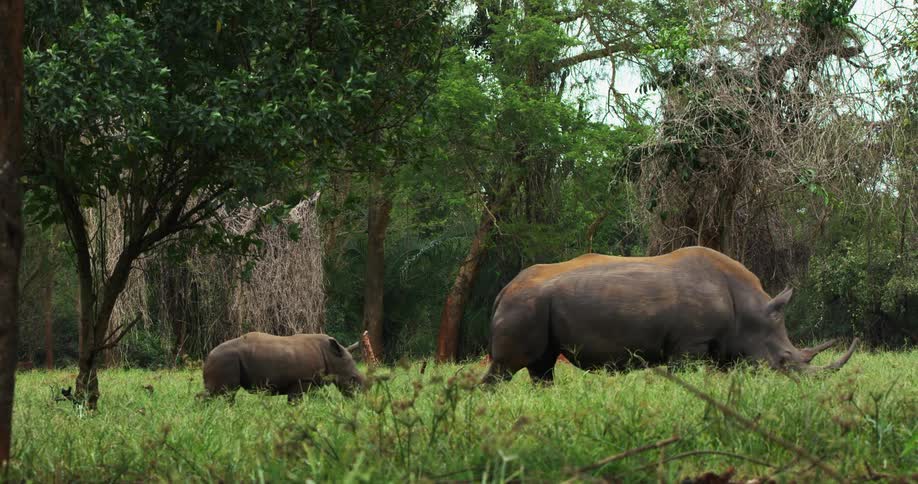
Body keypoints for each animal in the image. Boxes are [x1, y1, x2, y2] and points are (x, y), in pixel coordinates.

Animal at [201, 332, 367, 401]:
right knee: (223, 391)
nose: (360, 399)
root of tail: (208, 356)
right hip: (225, 359)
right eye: (352, 379)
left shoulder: (311, 381)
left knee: (224, 393)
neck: (332, 357)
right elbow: (295, 401)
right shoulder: (302, 381)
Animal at [482, 246, 858, 384]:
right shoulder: (691, 343)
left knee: (542, 366)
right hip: (525, 305)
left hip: (536, 306)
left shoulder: (716, 344)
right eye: (782, 361)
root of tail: (503, 290)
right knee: (506, 368)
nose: (802, 387)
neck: (750, 312)